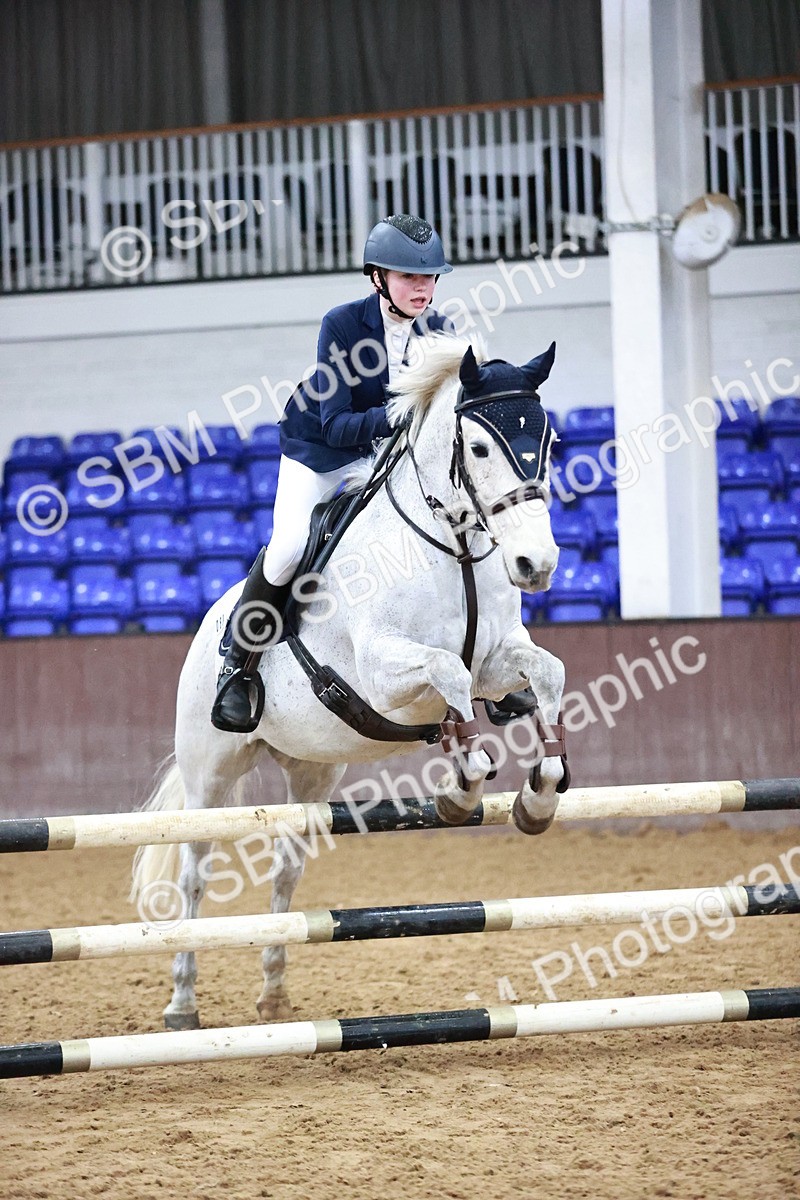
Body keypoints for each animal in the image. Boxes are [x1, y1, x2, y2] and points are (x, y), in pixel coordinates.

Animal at [131, 333, 568, 1030]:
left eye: (548, 440)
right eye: (478, 448)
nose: (537, 563)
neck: (451, 544)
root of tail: (204, 628)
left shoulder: (497, 661)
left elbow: (544, 675)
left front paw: (540, 795)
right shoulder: (384, 675)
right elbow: (446, 673)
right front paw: (462, 787)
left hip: (311, 771)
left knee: (286, 871)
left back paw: (273, 994)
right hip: (211, 772)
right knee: (195, 872)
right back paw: (182, 1002)